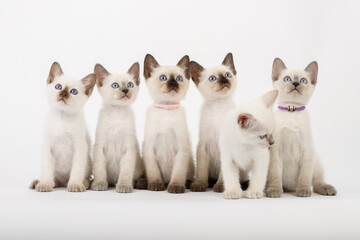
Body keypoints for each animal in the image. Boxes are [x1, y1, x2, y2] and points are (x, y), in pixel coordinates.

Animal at [29, 61, 95, 191]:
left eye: (73, 92)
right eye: (58, 87)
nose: (63, 93)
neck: (62, 118)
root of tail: (64, 182)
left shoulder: (79, 148)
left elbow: (76, 170)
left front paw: (75, 185)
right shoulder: (48, 147)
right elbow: (47, 171)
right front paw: (45, 185)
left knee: (85, 177)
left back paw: (83, 184)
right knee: (55, 181)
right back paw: (38, 183)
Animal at [90, 62, 145, 193]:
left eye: (130, 84)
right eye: (115, 85)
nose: (125, 90)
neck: (117, 114)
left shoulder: (128, 148)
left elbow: (125, 172)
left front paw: (124, 186)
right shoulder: (100, 147)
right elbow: (100, 170)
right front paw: (99, 184)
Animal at [143, 54, 195, 193]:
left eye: (178, 78)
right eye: (163, 78)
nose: (173, 83)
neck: (166, 109)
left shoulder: (181, 149)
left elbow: (178, 173)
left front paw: (176, 187)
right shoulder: (149, 149)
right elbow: (153, 172)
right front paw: (156, 185)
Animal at [188, 53, 248, 192]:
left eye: (227, 75)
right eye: (212, 78)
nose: (224, 80)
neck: (218, 106)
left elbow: (224, 174)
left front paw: (221, 186)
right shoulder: (203, 145)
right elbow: (201, 170)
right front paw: (199, 184)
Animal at [264, 57, 338, 197]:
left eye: (303, 81)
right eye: (287, 79)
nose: (295, 83)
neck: (292, 110)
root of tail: (291, 188)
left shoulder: (307, 150)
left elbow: (305, 176)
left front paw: (303, 191)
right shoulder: (276, 151)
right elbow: (275, 175)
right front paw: (275, 190)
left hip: (316, 160)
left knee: (317, 181)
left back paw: (326, 189)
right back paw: (270, 189)